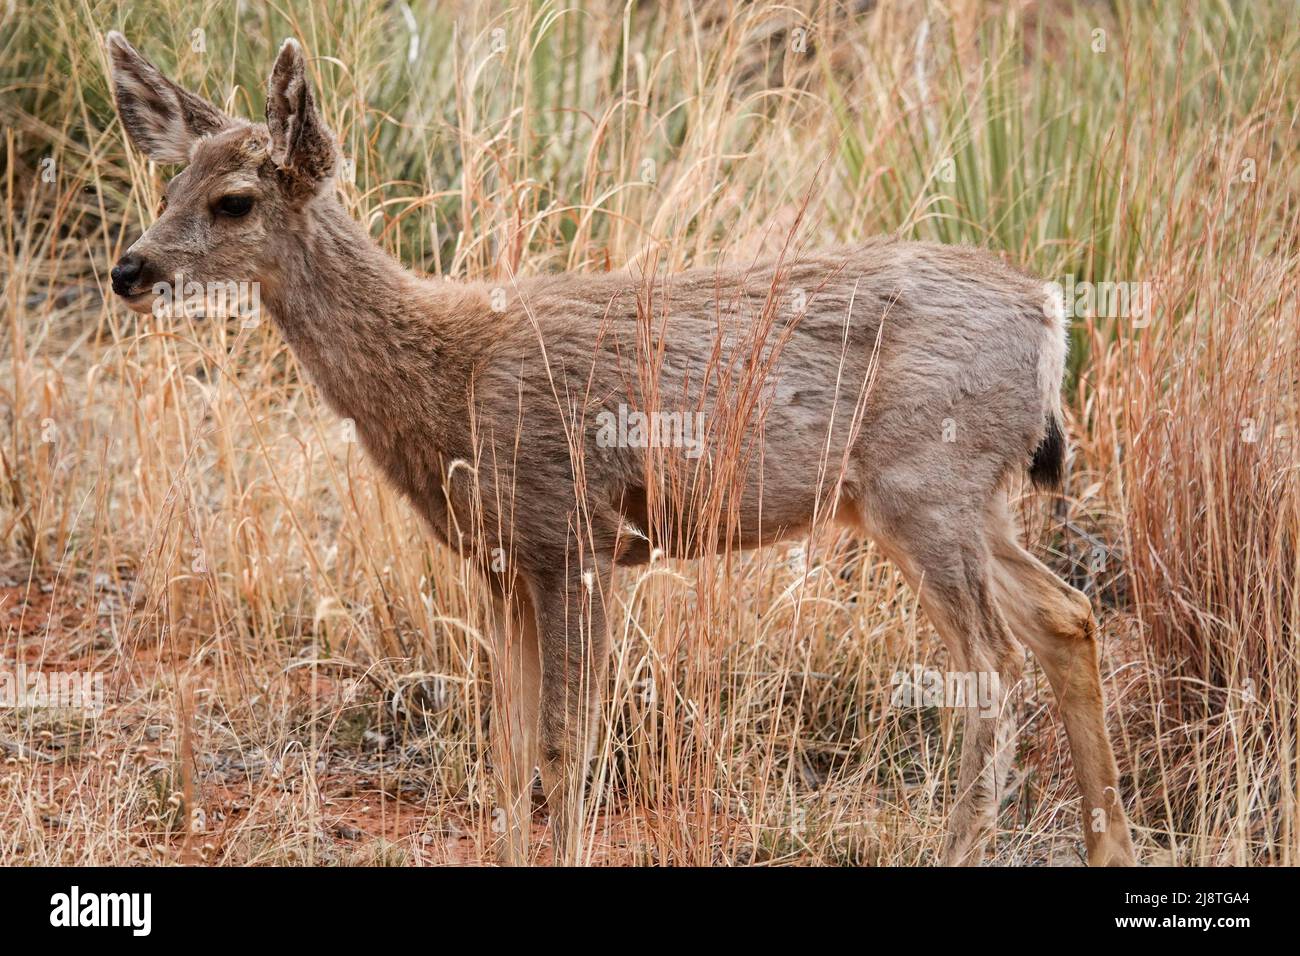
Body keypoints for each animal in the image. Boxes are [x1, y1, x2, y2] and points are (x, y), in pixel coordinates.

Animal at [104, 32, 1137, 867]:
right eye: (170, 185)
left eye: (235, 202)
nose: (129, 269)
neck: (447, 375)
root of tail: (1048, 309)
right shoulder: (501, 562)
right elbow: (506, 751)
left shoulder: (575, 540)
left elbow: (566, 749)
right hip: (968, 499)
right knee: (1068, 617)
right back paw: (1112, 847)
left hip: (926, 487)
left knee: (993, 670)